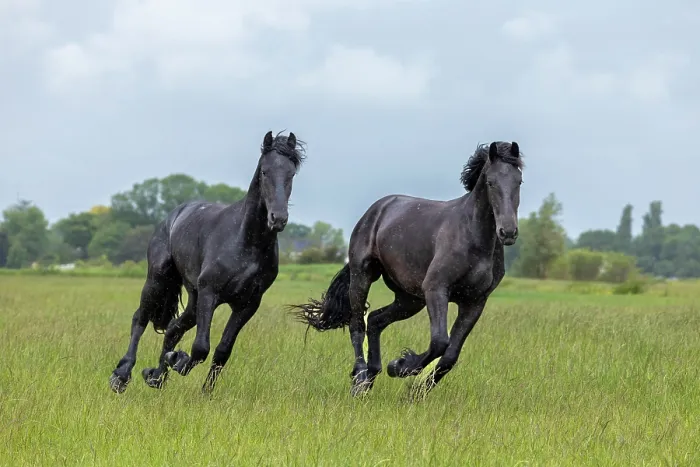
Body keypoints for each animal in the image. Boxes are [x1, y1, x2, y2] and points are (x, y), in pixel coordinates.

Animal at [109, 130, 306, 394]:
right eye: (265, 171)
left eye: (291, 173)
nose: (278, 218)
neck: (246, 242)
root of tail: (174, 215)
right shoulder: (209, 293)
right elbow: (201, 347)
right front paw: (179, 361)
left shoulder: (247, 304)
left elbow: (222, 350)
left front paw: (204, 391)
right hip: (158, 280)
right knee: (140, 319)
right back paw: (122, 375)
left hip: (192, 300)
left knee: (173, 328)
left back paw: (156, 377)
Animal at [291, 141, 523, 397]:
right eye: (491, 182)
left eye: (519, 181)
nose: (508, 232)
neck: (473, 237)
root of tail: (376, 209)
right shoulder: (436, 289)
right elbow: (440, 341)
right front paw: (400, 366)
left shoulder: (475, 301)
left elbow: (450, 354)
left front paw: (417, 390)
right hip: (363, 276)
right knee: (357, 324)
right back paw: (360, 380)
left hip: (410, 299)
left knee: (375, 320)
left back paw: (372, 375)